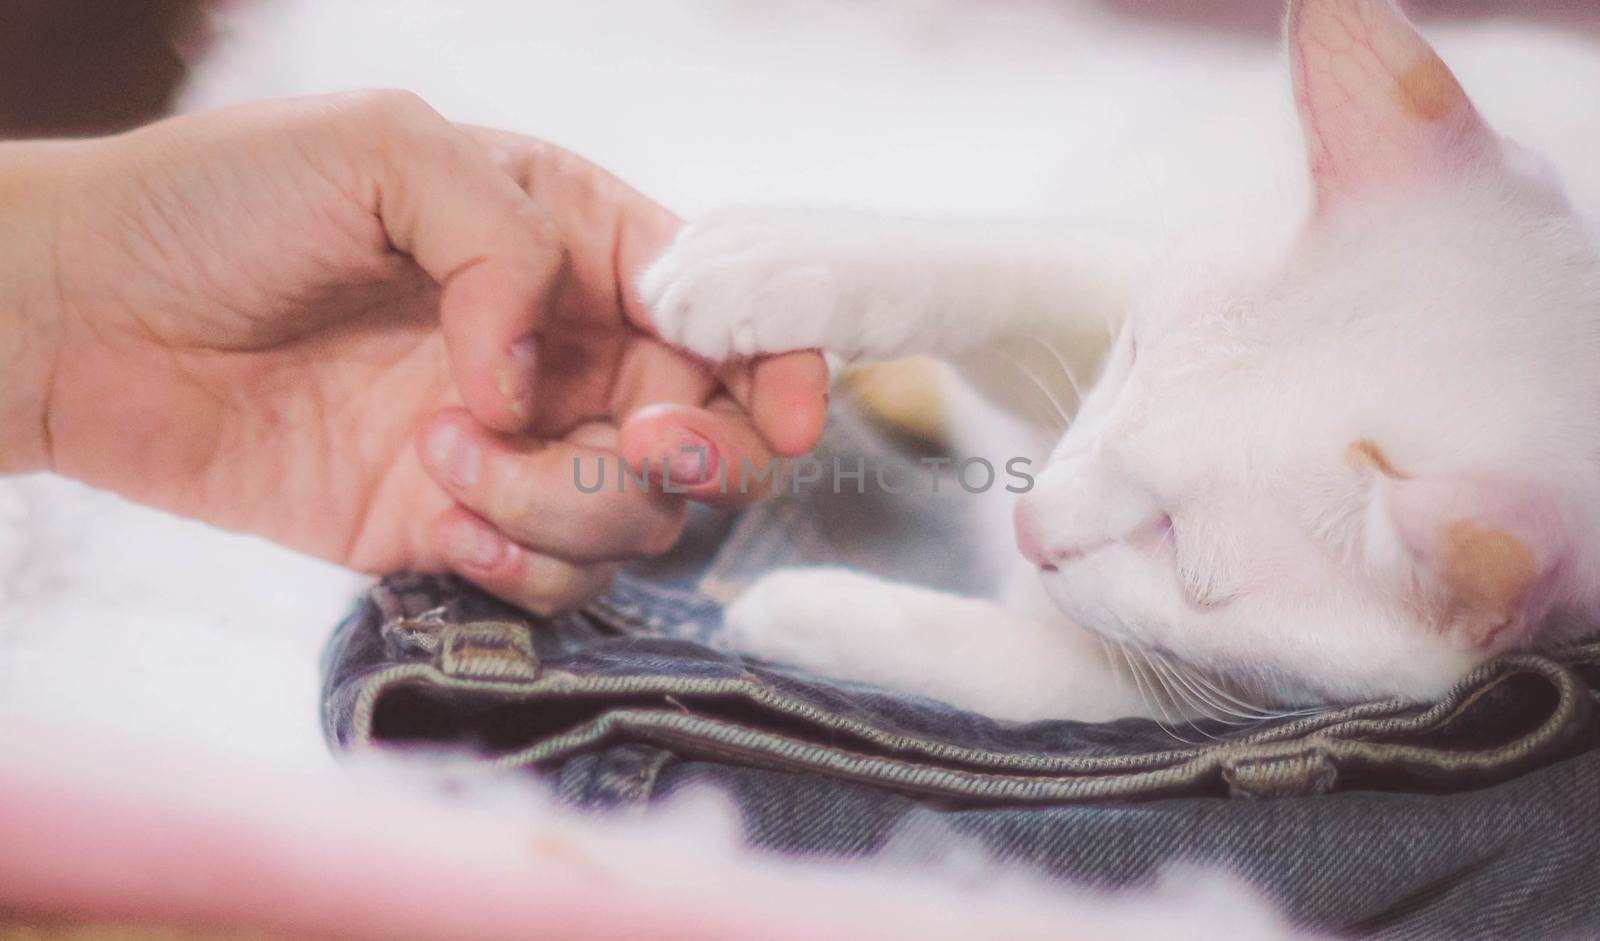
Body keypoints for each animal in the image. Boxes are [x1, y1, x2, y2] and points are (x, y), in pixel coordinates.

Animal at [636, 0, 1600, 723]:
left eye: (1177, 545)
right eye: (1134, 356)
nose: (1027, 523)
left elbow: (1033, 673)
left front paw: (805, 611)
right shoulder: (1114, 271)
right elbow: (1003, 267)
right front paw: (784, 260)